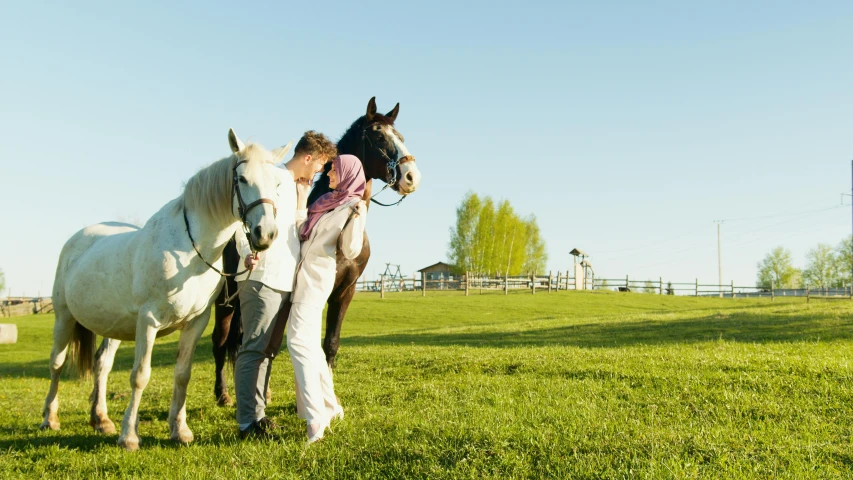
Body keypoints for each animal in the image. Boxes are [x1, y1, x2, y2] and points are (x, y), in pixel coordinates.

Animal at [42, 129, 290, 452]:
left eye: (277, 183)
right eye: (242, 178)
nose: (266, 234)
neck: (188, 251)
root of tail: (77, 239)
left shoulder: (195, 322)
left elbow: (182, 374)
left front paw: (179, 430)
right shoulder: (149, 320)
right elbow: (140, 376)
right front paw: (130, 436)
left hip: (113, 327)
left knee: (102, 366)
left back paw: (101, 419)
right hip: (64, 318)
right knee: (57, 364)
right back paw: (50, 418)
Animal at [213, 98, 420, 404]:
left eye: (401, 137)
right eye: (379, 136)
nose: (411, 176)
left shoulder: (345, 292)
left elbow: (330, 344)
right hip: (225, 299)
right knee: (221, 340)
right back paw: (223, 394)